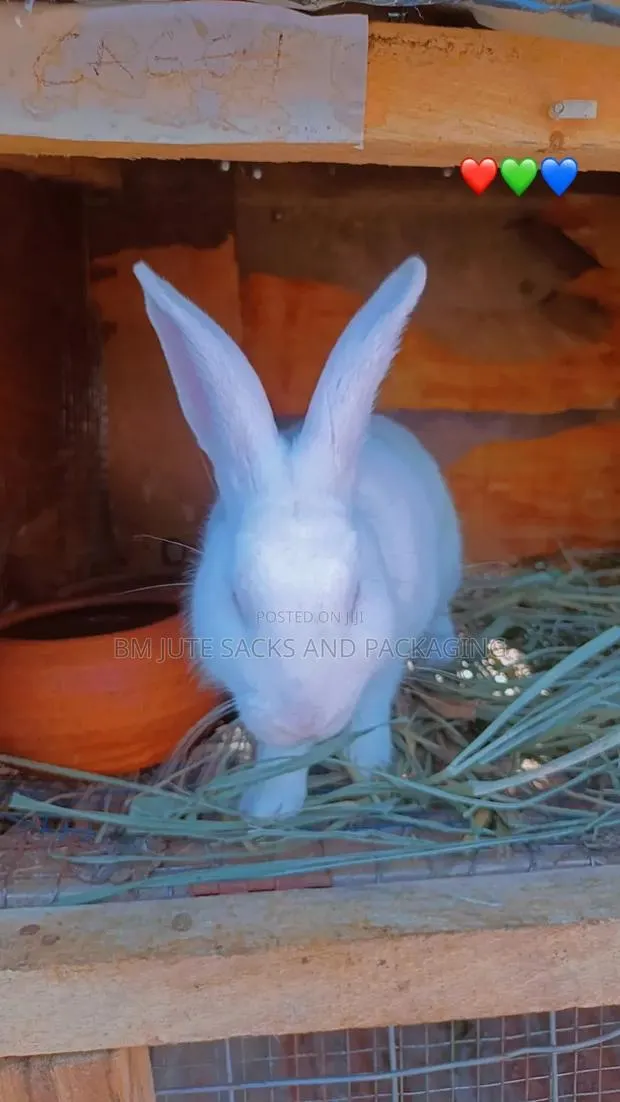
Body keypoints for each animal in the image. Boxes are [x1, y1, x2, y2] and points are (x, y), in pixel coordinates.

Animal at [133, 256, 462, 821]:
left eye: (354, 596)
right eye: (237, 599)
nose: (304, 716)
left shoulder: (384, 655)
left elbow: (370, 713)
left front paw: (372, 772)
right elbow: (279, 755)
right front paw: (270, 808)